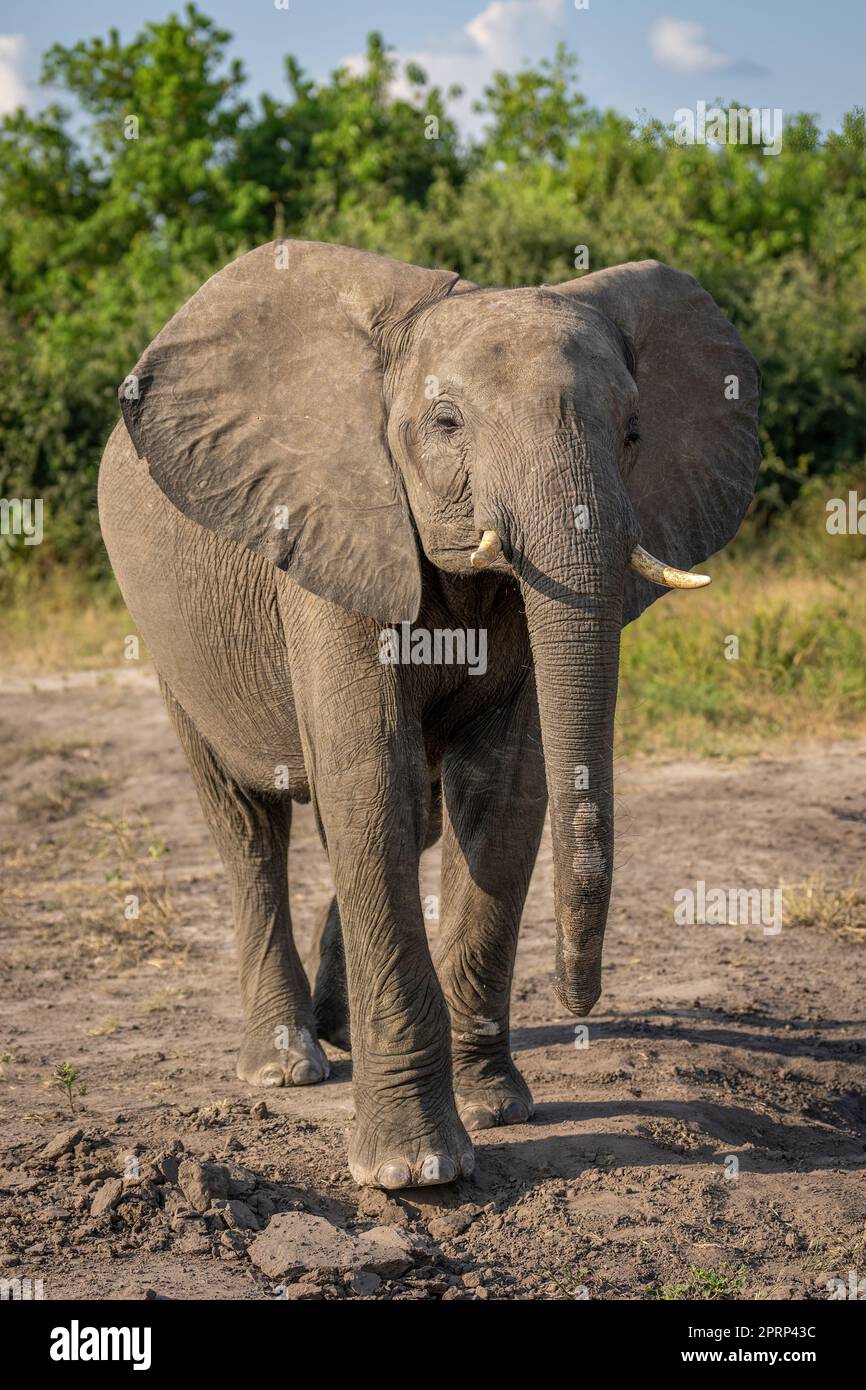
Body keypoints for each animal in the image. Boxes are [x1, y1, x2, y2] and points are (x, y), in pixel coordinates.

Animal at [100, 236, 756, 1184]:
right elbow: (370, 776)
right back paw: (286, 1065)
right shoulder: (331, 527)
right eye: (446, 423)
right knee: (250, 821)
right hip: (169, 637)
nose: (581, 997)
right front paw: (417, 1173)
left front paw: (495, 1107)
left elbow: (504, 792)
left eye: (634, 433)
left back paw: (339, 1031)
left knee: (409, 815)